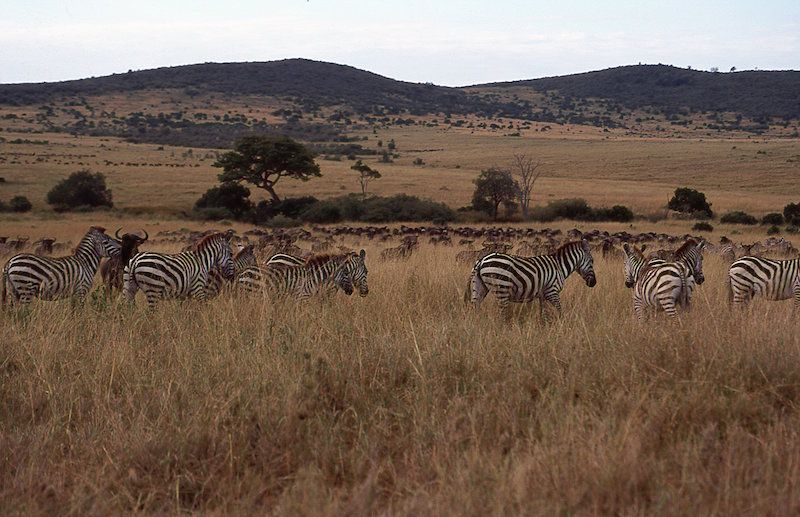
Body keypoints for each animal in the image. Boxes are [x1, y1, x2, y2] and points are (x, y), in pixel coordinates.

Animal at [466, 238, 596, 314]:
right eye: (592, 261)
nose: (593, 283)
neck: (559, 266)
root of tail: (481, 260)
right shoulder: (552, 292)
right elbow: (560, 310)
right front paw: (561, 326)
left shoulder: (543, 296)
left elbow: (543, 313)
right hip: (502, 288)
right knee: (501, 314)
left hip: (479, 287)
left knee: (475, 307)